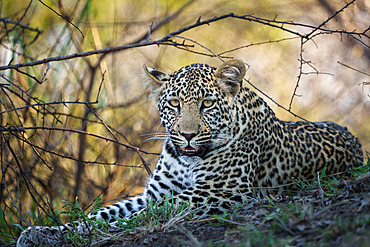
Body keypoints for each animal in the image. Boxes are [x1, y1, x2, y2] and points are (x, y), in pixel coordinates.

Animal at [15, 58, 362, 246]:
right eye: (174, 103)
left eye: (207, 103)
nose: (188, 135)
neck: (187, 162)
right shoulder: (155, 192)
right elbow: (101, 214)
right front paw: (44, 233)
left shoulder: (216, 192)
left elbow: (147, 214)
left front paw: (102, 233)